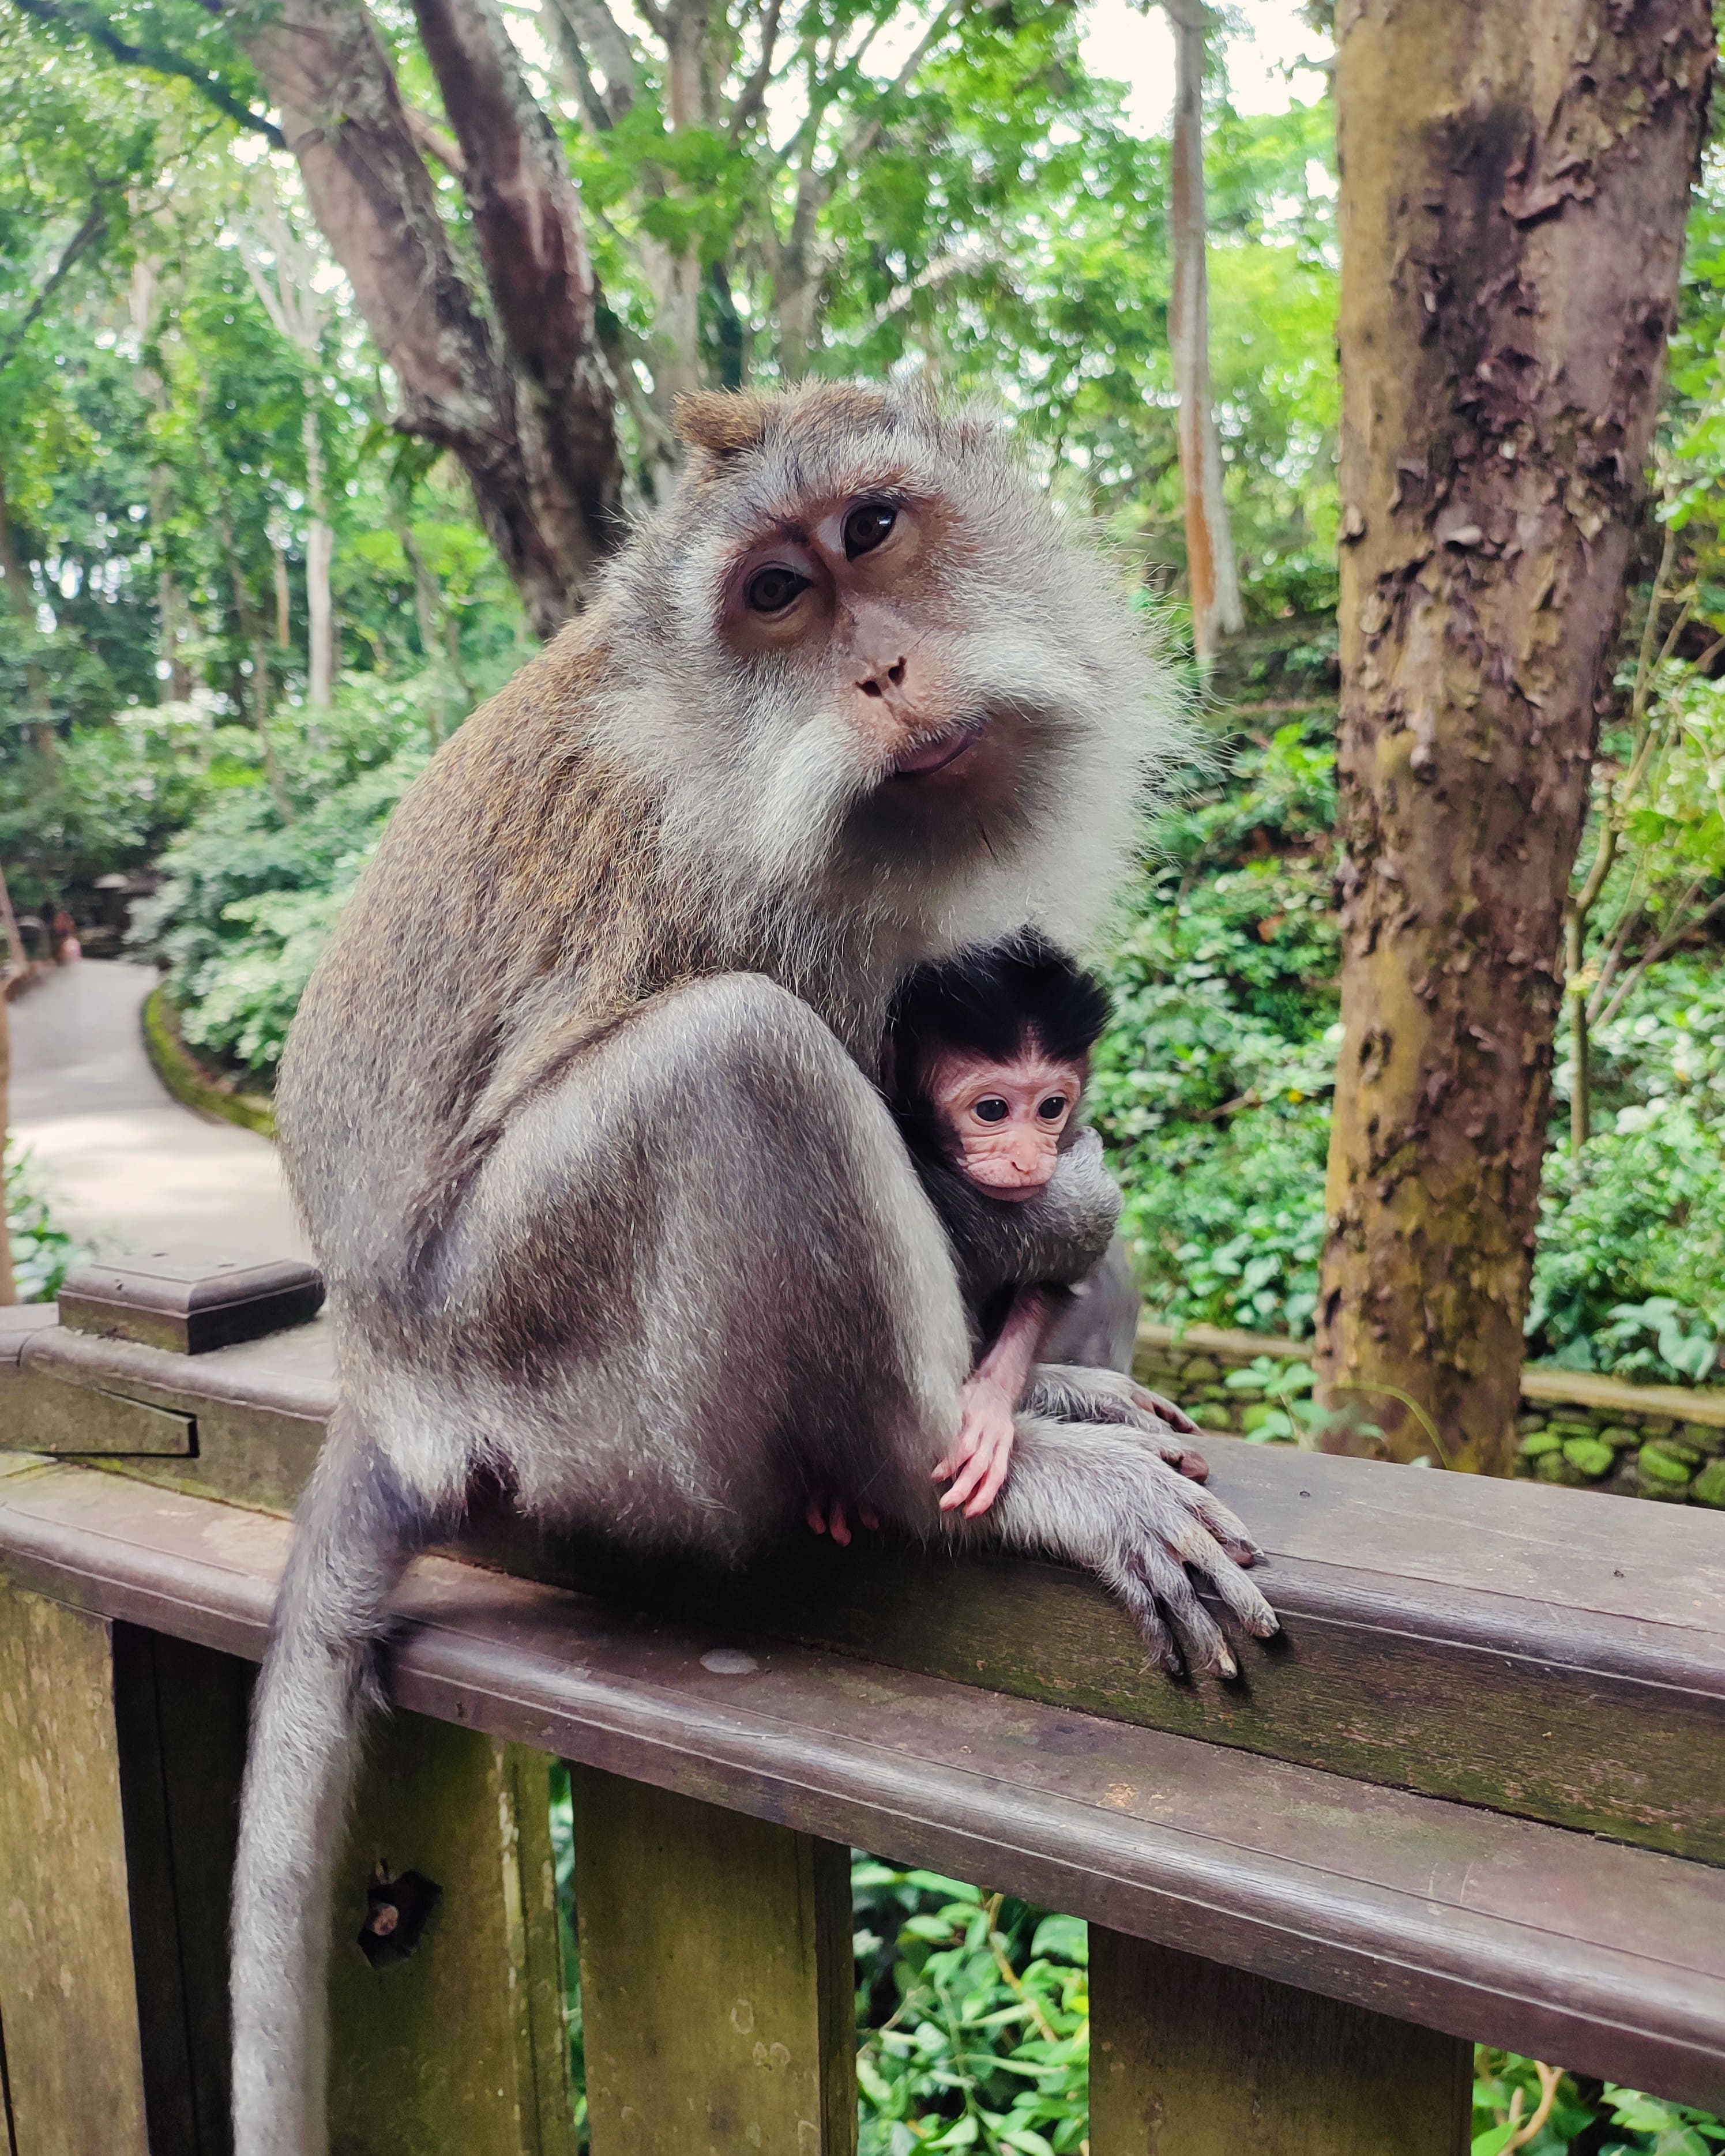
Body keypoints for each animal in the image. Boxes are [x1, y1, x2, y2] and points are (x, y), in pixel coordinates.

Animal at [236, 379, 1276, 2147]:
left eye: (872, 530)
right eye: (774, 598)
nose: (881, 671)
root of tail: (382, 1372)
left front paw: (1066, 1291)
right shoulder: (771, 897)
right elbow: (880, 1113)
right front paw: (1050, 1236)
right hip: (546, 1356)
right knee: (733, 1057)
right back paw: (962, 1463)